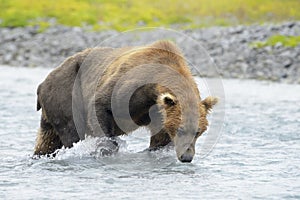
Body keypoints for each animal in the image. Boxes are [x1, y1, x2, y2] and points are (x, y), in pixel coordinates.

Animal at [34, 40, 218, 162]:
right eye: (181, 129)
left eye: (198, 132)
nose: (187, 156)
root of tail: (42, 83)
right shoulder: (129, 85)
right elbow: (101, 106)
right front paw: (107, 148)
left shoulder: (159, 111)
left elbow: (160, 137)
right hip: (66, 93)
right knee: (71, 131)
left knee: (47, 140)